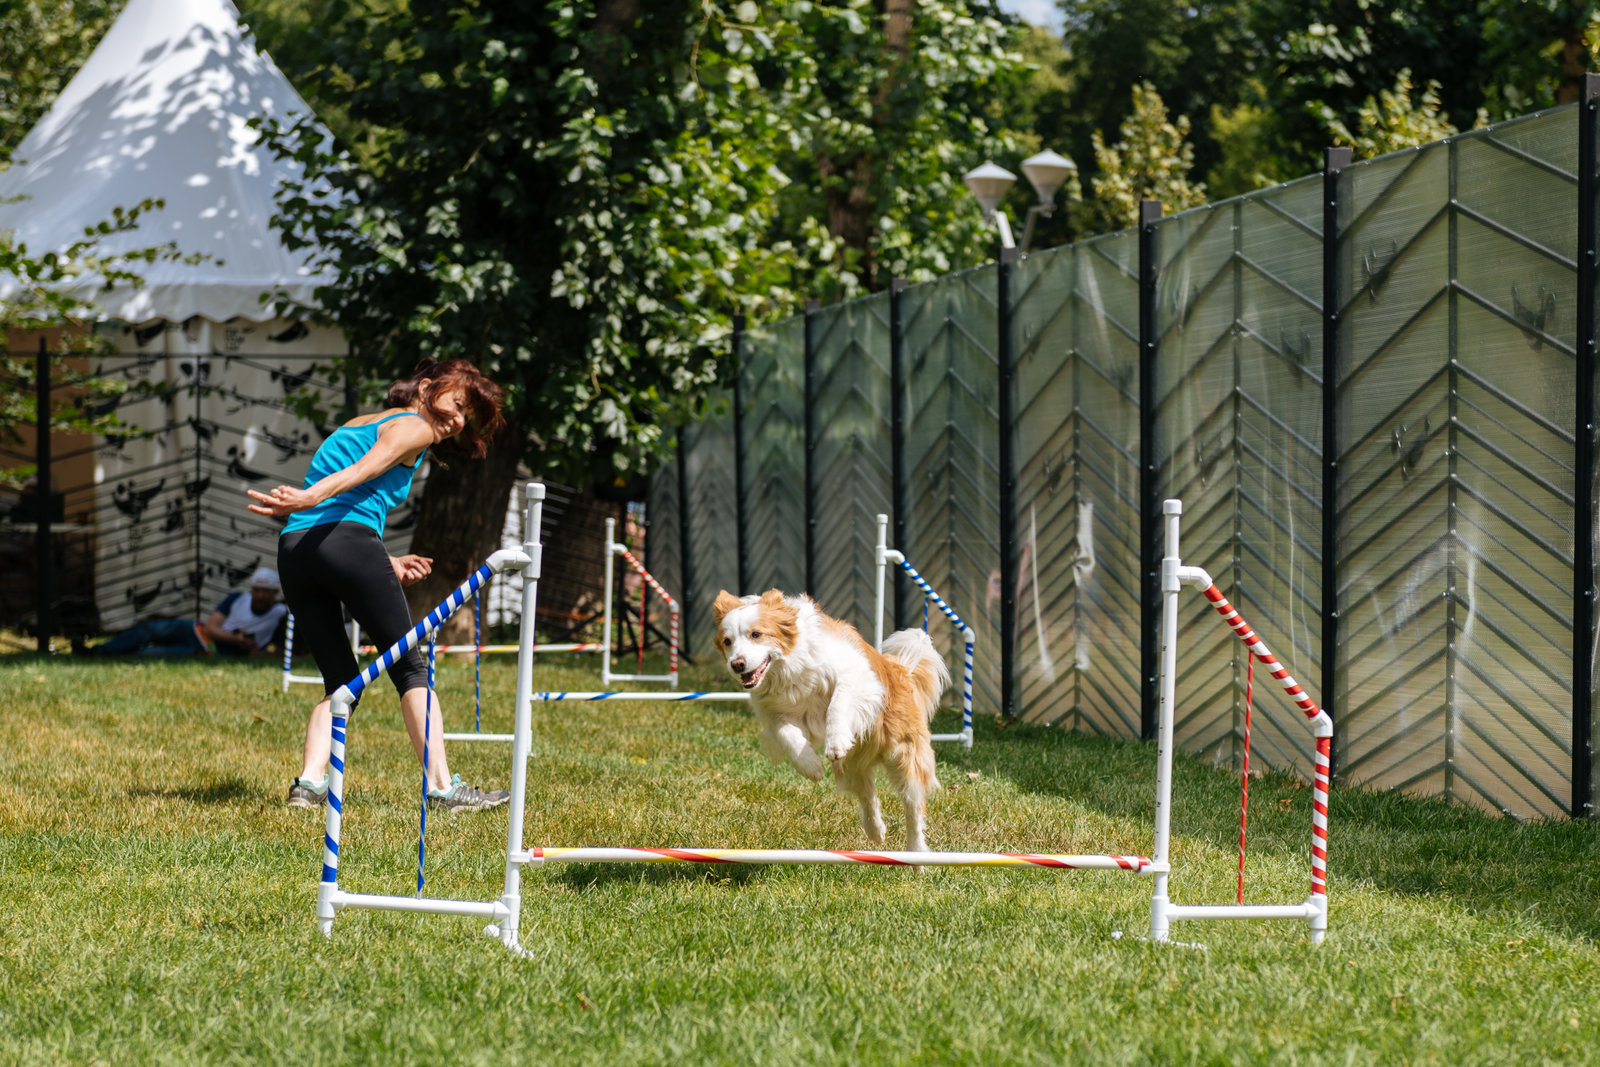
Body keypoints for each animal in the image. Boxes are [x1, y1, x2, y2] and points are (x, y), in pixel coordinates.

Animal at [713, 591, 947, 851]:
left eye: (756, 634)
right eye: (727, 641)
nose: (737, 664)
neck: (788, 670)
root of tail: (901, 669)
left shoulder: (856, 677)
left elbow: (838, 703)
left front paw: (835, 743)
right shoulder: (774, 712)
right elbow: (786, 733)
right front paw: (811, 766)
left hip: (905, 757)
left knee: (913, 809)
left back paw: (916, 853)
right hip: (854, 767)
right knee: (868, 796)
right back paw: (876, 831)